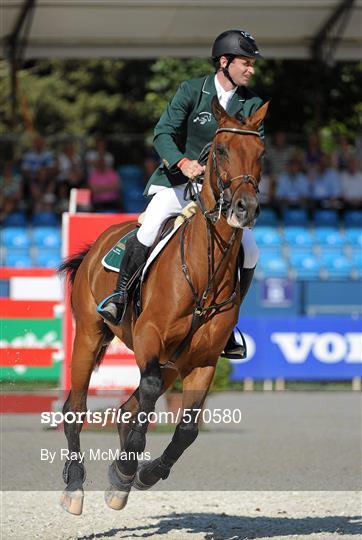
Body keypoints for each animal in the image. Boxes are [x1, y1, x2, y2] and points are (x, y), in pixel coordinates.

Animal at [59, 97, 268, 516]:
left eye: (261, 153)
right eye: (221, 150)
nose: (245, 209)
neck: (204, 271)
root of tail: (100, 241)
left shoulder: (203, 360)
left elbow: (186, 428)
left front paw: (139, 474)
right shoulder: (149, 338)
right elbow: (150, 391)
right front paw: (127, 469)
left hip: (173, 361)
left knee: (128, 409)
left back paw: (119, 485)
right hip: (89, 336)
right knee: (76, 407)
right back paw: (74, 486)